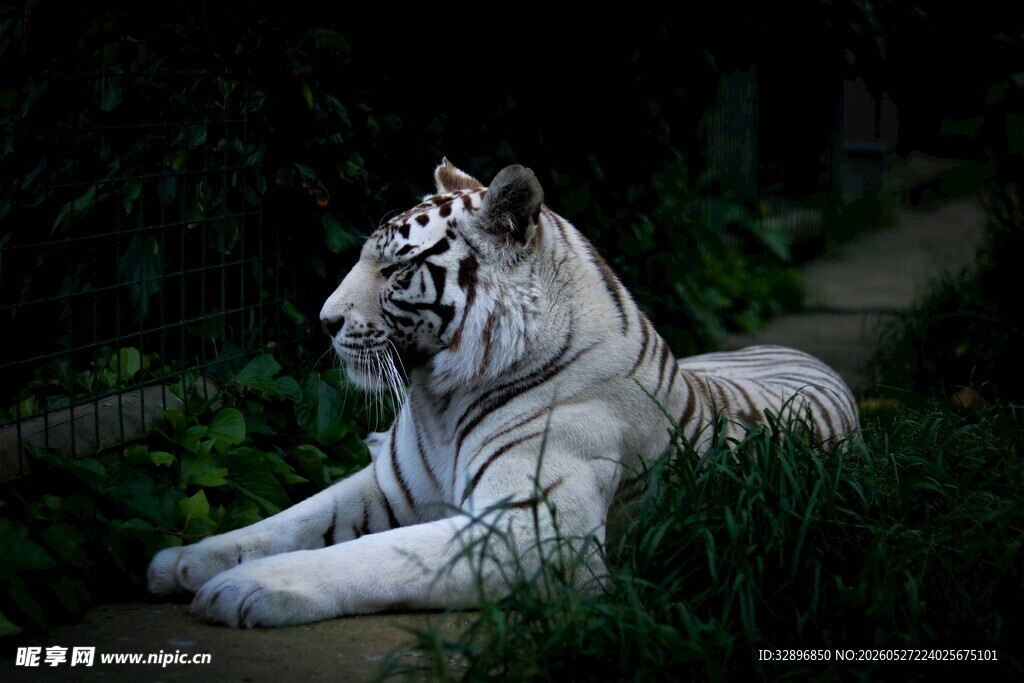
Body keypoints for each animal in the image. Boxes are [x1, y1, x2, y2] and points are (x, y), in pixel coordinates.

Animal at [147, 159, 859, 627]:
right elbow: (290, 519)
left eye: (397, 268)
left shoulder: (532, 530)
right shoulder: (390, 486)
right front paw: (183, 561)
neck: (439, 399)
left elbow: (371, 554)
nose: (323, 321)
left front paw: (246, 588)